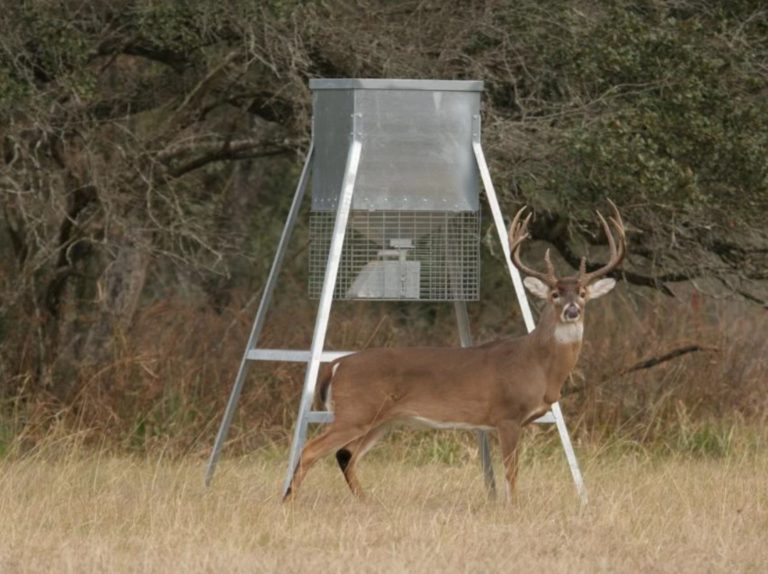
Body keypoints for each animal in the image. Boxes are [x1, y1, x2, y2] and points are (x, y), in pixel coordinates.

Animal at [284, 201, 628, 504]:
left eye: (582, 293)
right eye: (555, 293)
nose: (571, 310)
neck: (538, 364)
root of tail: (335, 366)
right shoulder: (507, 415)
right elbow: (511, 473)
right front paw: (514, 508)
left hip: (381, 419)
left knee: (346, 455)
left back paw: (366, 503)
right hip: (356, 411)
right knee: (311, 450)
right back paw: (290, 503)